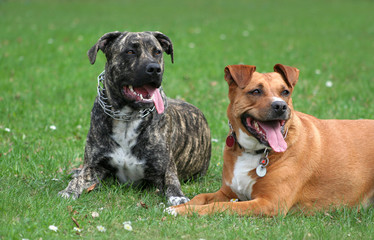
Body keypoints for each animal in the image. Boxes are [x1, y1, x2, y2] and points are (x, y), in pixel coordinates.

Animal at [58, 31, 210, 205]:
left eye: (157, 52)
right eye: (130, 51)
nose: (154, 68)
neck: (127, 117)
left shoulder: (165, 169)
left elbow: (172, 182)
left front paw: (178, 196)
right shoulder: (94, 167)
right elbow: (79, 179)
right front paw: (69, 191)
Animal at [168, 63, 374, 216]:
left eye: (285, 92)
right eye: (256, 91)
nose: (280, 106)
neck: (253, 151)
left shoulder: (268, 203)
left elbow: (220, 206)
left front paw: (184, 211)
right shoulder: (227, 192)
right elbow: (201, 197)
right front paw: (179, 206)